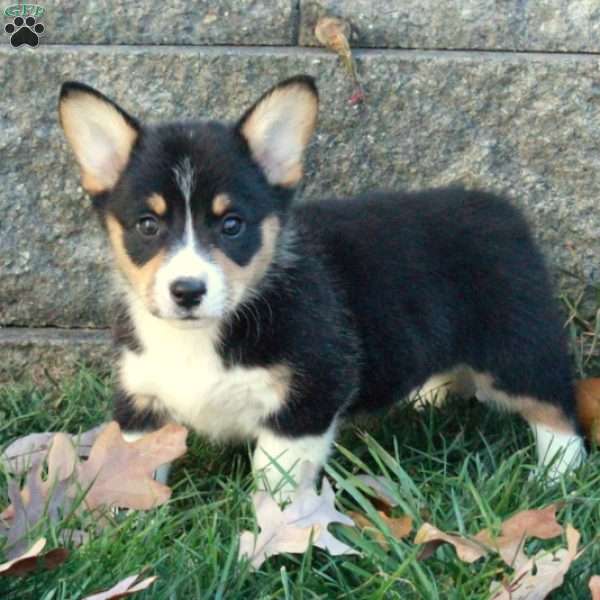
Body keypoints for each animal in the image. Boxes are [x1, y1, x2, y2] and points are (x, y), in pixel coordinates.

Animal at [58, 75, 584, 494]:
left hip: (514, 352)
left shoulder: (306, 400)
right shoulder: (142, 401)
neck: (202, 336)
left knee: (556, 406)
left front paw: (272, 533)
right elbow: (134, 468)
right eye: (147, 225)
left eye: (232, 225)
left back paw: (556, 476)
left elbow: (274, 479)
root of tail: (504, 211)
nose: (187, 291)